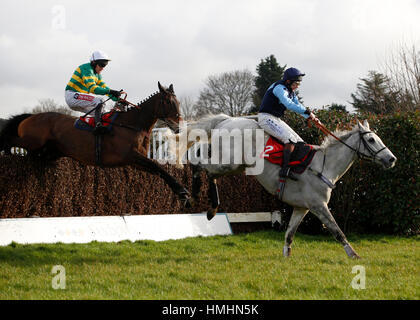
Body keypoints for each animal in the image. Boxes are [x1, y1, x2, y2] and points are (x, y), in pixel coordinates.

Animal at [0, 82, 190, 208]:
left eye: (179, 103)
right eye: (167, 102)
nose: (178, 126)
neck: (131, 124)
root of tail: (30, 116)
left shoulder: (135, 161)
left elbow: (158, 170)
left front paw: (181, 192)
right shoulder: (130, 155)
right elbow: (158, 167)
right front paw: (183, 191)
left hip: (48, 152)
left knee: (32, 156)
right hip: (33, 141)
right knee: (8, 140)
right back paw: (7, 153)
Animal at [172, 114, 396, 258]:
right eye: (371, 139)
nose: (391, 159)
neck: (324, 166)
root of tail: (227, 119)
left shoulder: (301, 208)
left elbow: (289, 234)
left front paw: (286, 257)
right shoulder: (318, 206)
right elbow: (336, 230)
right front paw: (353, 254)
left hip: (234, 166)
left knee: (210, 172)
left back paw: (211, 208)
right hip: (228, 162)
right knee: (200, 164)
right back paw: (194, 198)